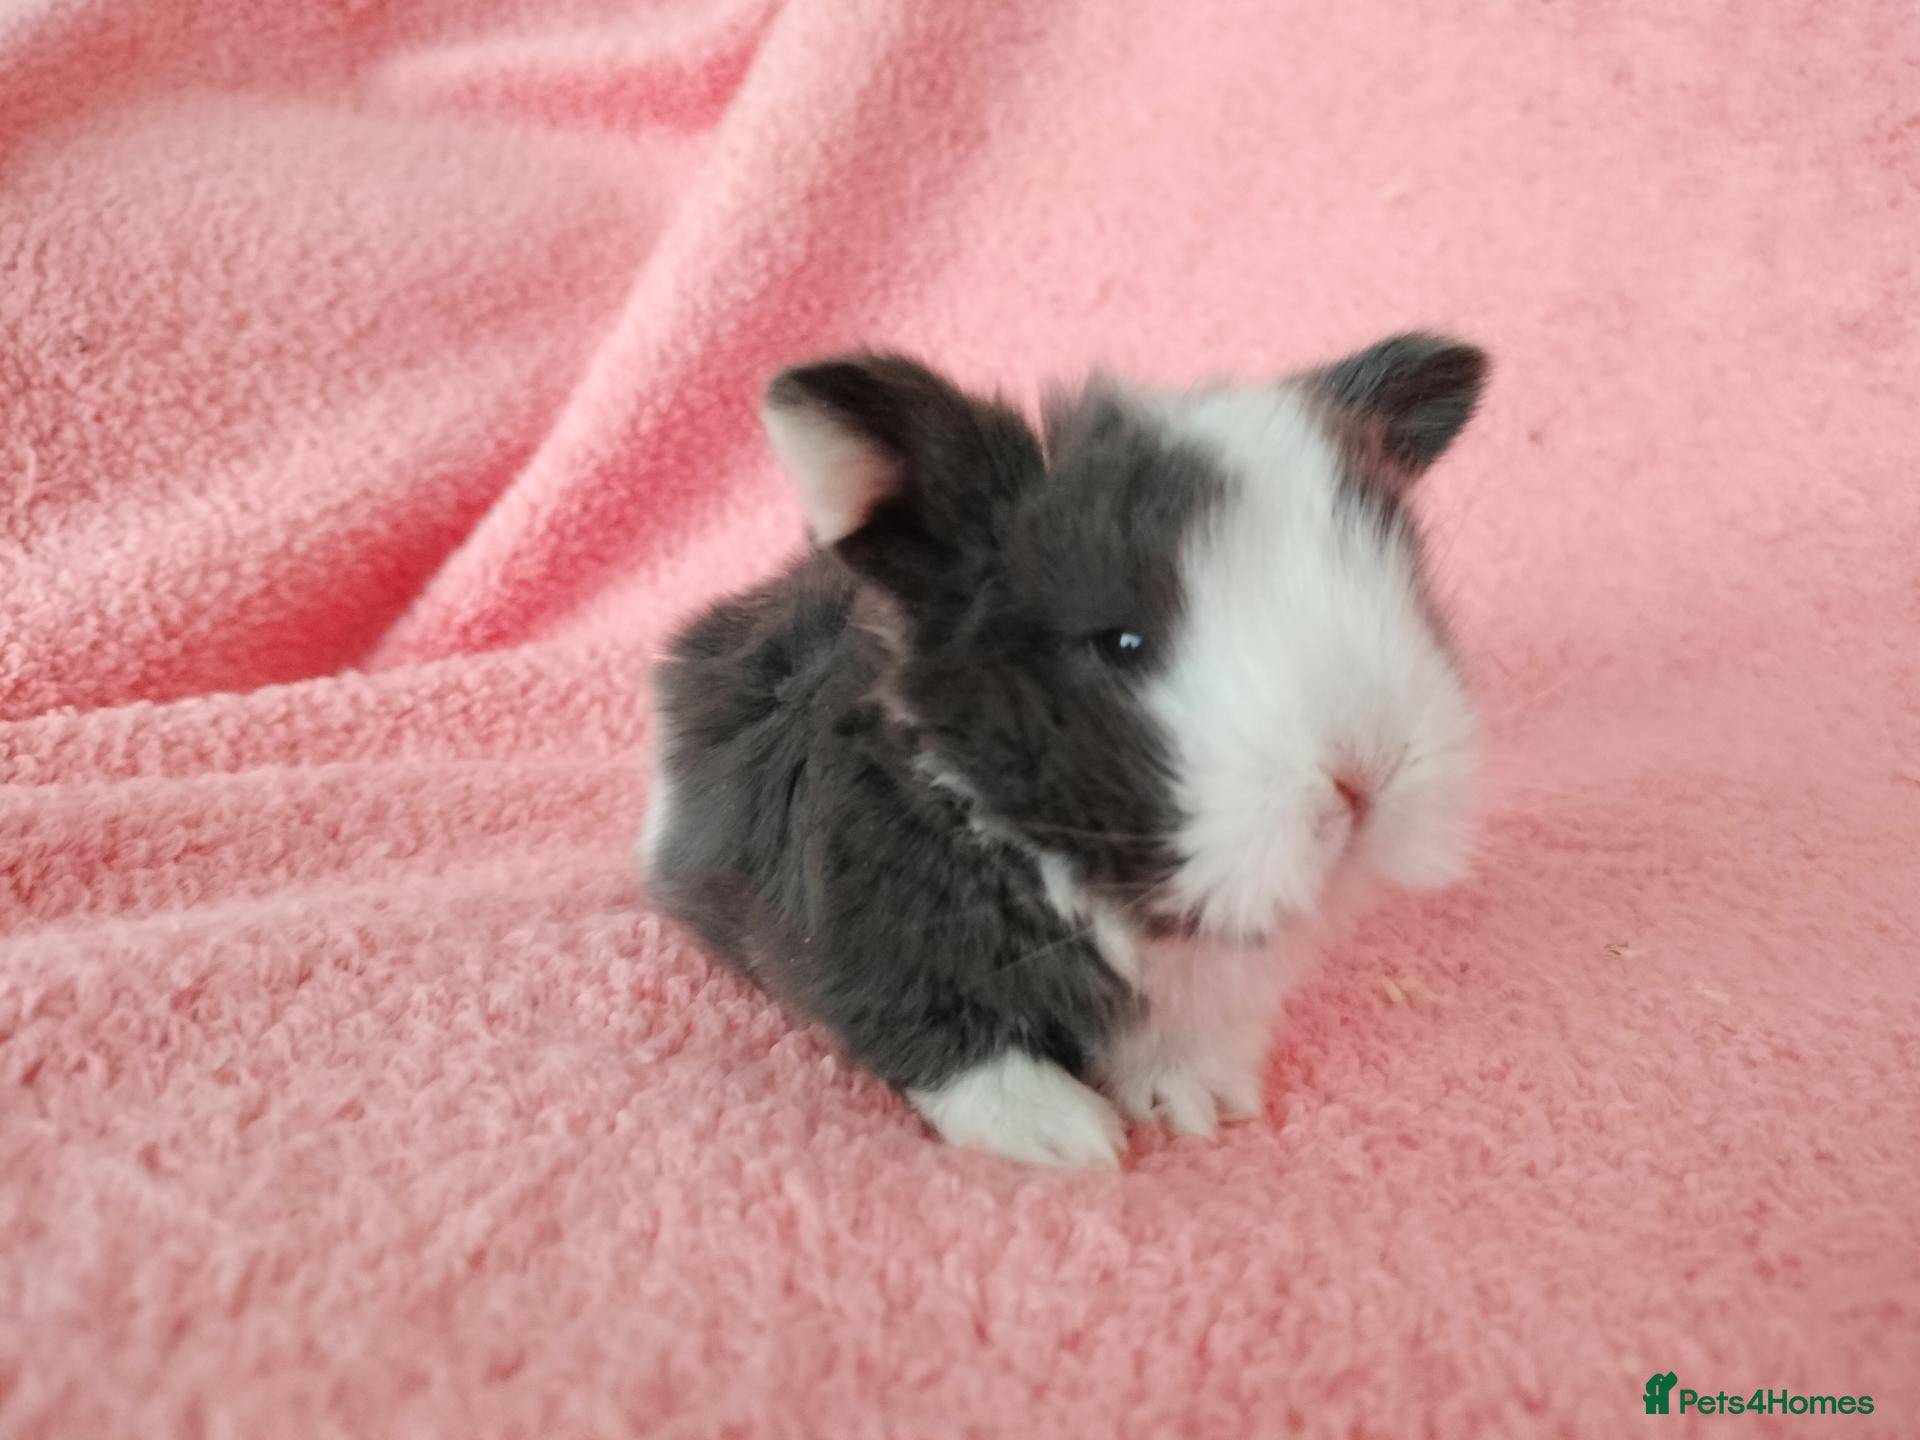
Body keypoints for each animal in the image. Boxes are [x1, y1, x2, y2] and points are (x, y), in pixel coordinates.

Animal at [641, 334, 1487, 1168]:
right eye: (1120, 643)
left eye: (1401, 586)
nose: (1366, 774)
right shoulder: (869, 945)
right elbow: (946, 1036)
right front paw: (1061, 1134)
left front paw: (1198, 1101)